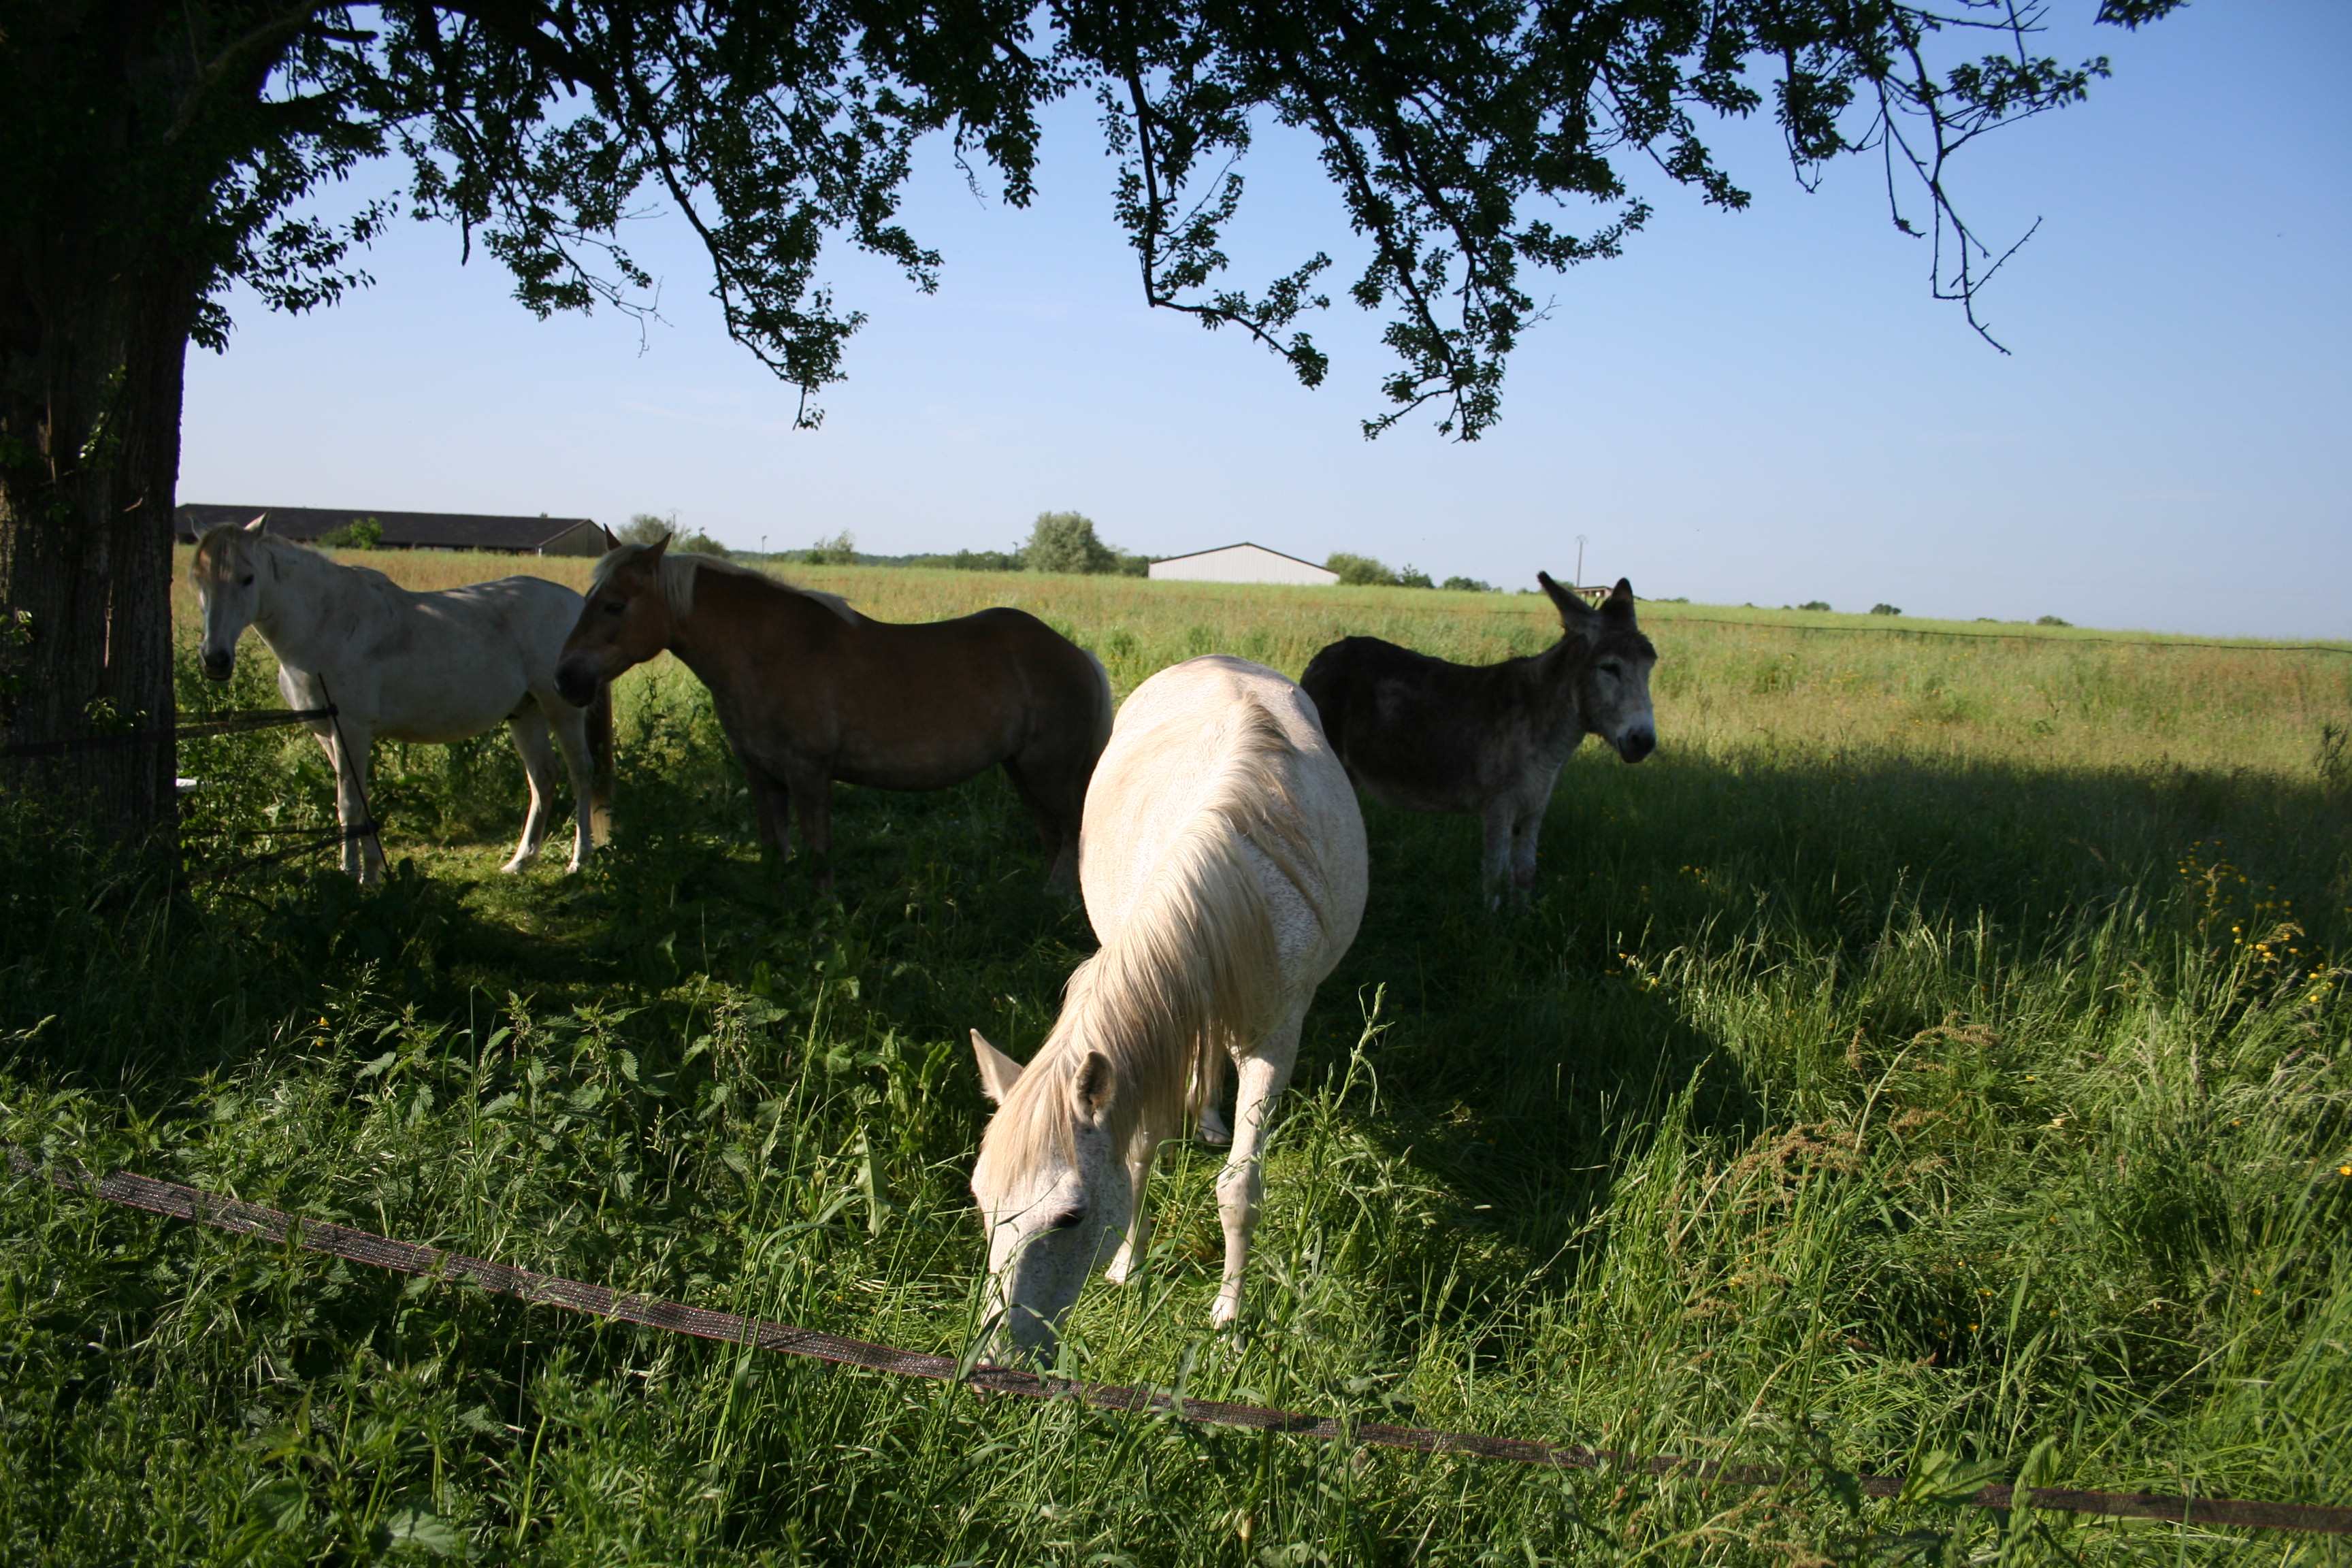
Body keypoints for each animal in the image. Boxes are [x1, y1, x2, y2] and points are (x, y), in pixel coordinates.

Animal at [191, 517, 611, 879]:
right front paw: (374, 871)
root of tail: (575, 603)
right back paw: (520, 862)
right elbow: (360, 800)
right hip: (526, 712)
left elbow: (348, 804)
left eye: (248, 578)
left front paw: (351, 875)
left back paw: (580, 859)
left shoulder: (351, 730)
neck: (325, 626)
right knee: (543, 777)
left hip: (561, 710)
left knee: (580, 773)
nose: (215, 660)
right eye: (198, 580)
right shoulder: (327, 735)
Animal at [550, 536, 1110, 883]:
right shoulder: (763, 778)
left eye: (615, 605)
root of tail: (1076, 653)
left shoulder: (808, 776)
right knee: (1054, 838)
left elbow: (817, 858)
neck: (768, 651)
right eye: (589, 598)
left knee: (1075, 834)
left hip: (1050, 773)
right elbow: (773, 852)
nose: (566, 679)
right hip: (1023, 773)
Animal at [964, 658, 1373, 1354]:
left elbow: (1240, 1190)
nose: (996, 1359)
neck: (1233, 882)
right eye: (982, 1202)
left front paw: (1230, 1320)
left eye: (1070, 1217)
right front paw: (1130, 1267)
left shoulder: (1274, 1042)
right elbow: (1136, 1152)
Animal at [1307, 573, 1656, 893]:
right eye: (1610, 667)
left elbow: (1525, 874)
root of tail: (1325, 654)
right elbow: (1497, 876)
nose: (1644, 742)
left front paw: (1521, 919)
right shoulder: (1499, 802)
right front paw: (1492, 923)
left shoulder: (1535, 804)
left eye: (1651, 666)